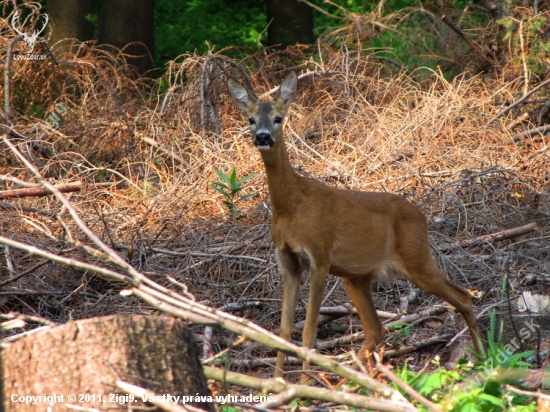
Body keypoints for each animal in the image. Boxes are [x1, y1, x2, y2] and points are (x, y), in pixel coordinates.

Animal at [226, 70, 486, 376]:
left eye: (279, 118)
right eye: (251, 119)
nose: (263, 136)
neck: (290, 208)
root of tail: (421, 215)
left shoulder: (320, 255)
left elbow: (309, 332)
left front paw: (302, 383)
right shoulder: (288, 262)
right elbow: (284, 331)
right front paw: (279, 383)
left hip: (417, 258)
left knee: (464, 297)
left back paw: (484, 358)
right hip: (356, 276)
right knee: (375, 329)